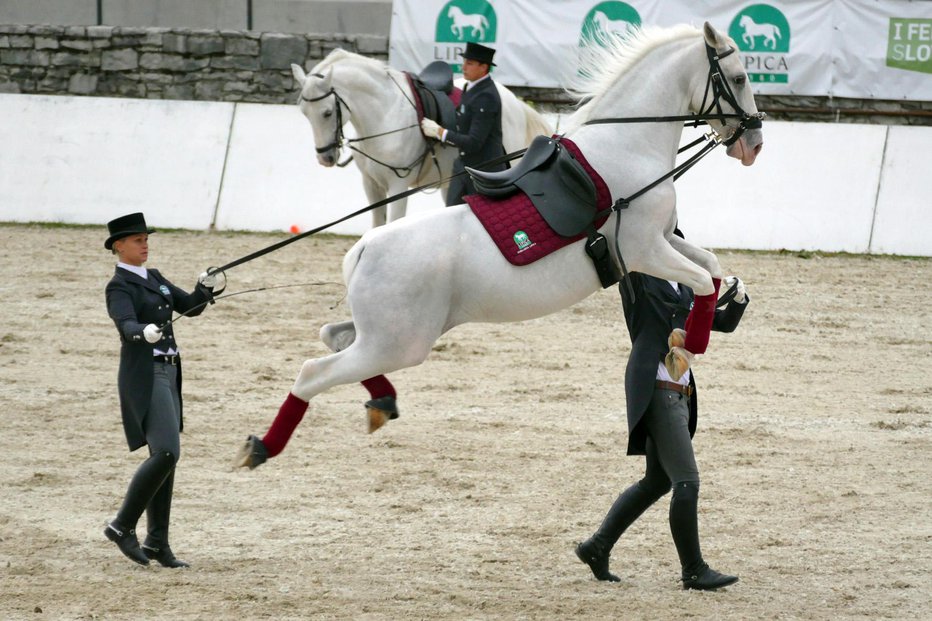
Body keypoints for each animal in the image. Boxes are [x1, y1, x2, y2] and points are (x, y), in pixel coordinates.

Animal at [294, 49, 552, 225]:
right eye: (304, 113)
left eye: (327, 113)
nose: (325, 158)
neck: (385, 113)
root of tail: (514, 100)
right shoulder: (371, 185)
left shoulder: (398, 186)